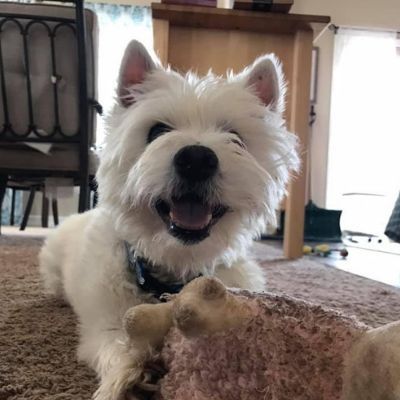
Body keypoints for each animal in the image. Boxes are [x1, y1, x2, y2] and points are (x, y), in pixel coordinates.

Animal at [39, 41, 298, 400]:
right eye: (157, 131)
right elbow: (117, 343)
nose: (197, 159)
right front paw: (128, 377)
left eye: (235, 136)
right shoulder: (105, 325)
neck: (175, 263)